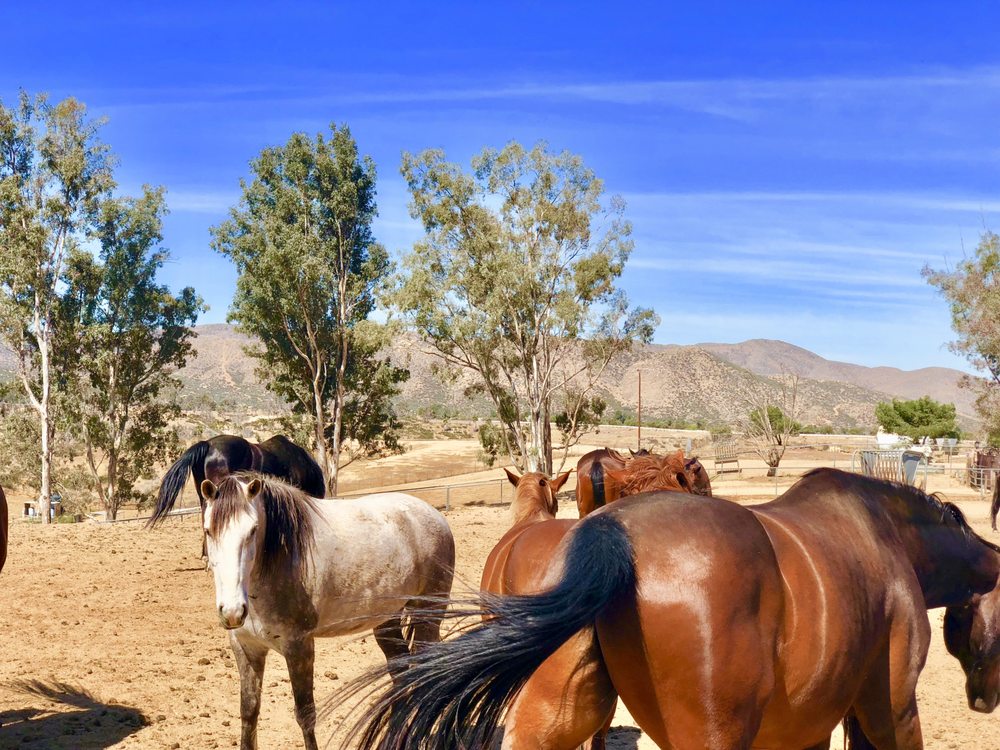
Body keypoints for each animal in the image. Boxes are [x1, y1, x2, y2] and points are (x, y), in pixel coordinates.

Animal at [199, 473, 454, 750]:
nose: (232, 611)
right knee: (400, 673)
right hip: (387, 620)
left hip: (428, 617)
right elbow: (249, 711)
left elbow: (305, 714)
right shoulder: (246, 647)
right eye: (208, 530)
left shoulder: (299, 647)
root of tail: (434, 515)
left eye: (253, 530)